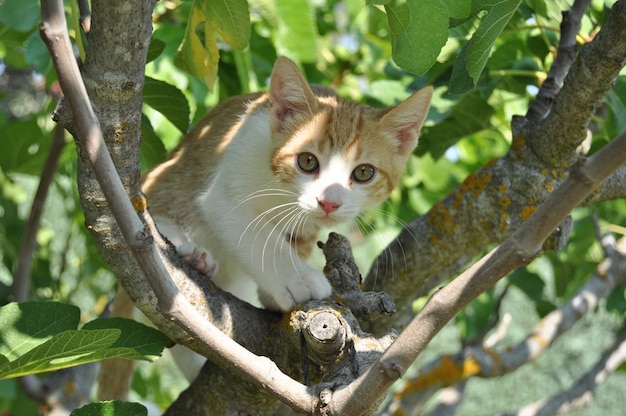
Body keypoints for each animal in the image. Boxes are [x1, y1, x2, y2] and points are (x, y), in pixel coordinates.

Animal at [143, 57, 432, 312]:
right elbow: (257, 235)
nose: (329, 202)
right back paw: (192, 254)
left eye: (363, 172)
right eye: (307, 161)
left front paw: (272, 294)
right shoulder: (236, 166)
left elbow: (296, 238)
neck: (282, 192)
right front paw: (298, 278)